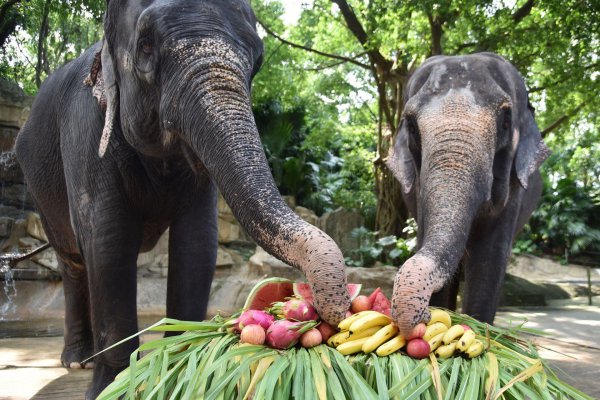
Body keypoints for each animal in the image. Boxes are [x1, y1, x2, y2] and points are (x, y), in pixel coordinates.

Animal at [15, 0, 352, 396]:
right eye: (145, 47)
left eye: (258, 59)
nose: (334, 312)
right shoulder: (87, 130)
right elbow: (107, 241)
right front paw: (113, 389)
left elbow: (197, 243)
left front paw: (181, 365)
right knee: (73, 261)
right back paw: (77, 361)